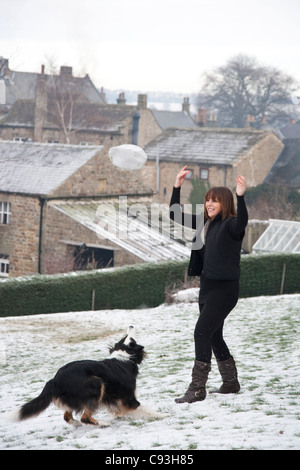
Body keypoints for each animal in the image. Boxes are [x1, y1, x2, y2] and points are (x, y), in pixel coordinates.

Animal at [14, 326, 166, 426]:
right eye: (130, 338)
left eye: (125, 338)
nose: (131, 326)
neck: (124, 357)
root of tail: (55, 379)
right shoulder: (129, 399)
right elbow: (145, 409)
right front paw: (163, 415)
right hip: (96, 384)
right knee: (84, 417)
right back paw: (103, 423)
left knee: (67, 416)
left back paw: (76, 424)